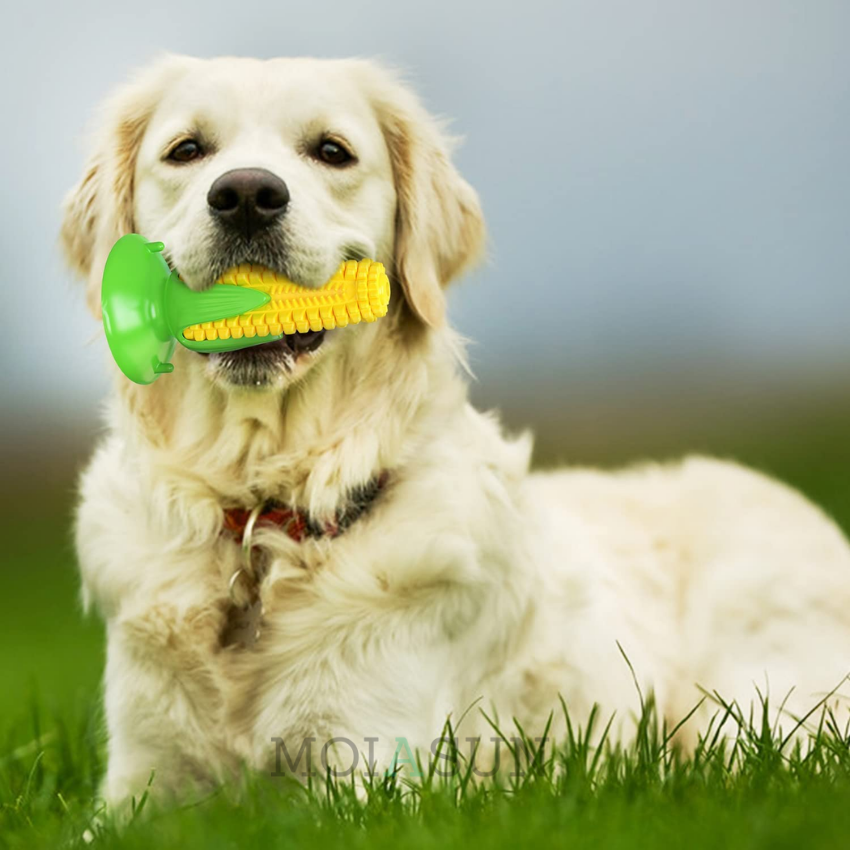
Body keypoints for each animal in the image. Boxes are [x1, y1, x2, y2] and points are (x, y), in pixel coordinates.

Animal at [61, 56, 848, 804]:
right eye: (187, 150)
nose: (248, 195)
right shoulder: (140, 785)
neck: (265, 519)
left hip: (752, 709)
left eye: (332, 151)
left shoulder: (371, 772)